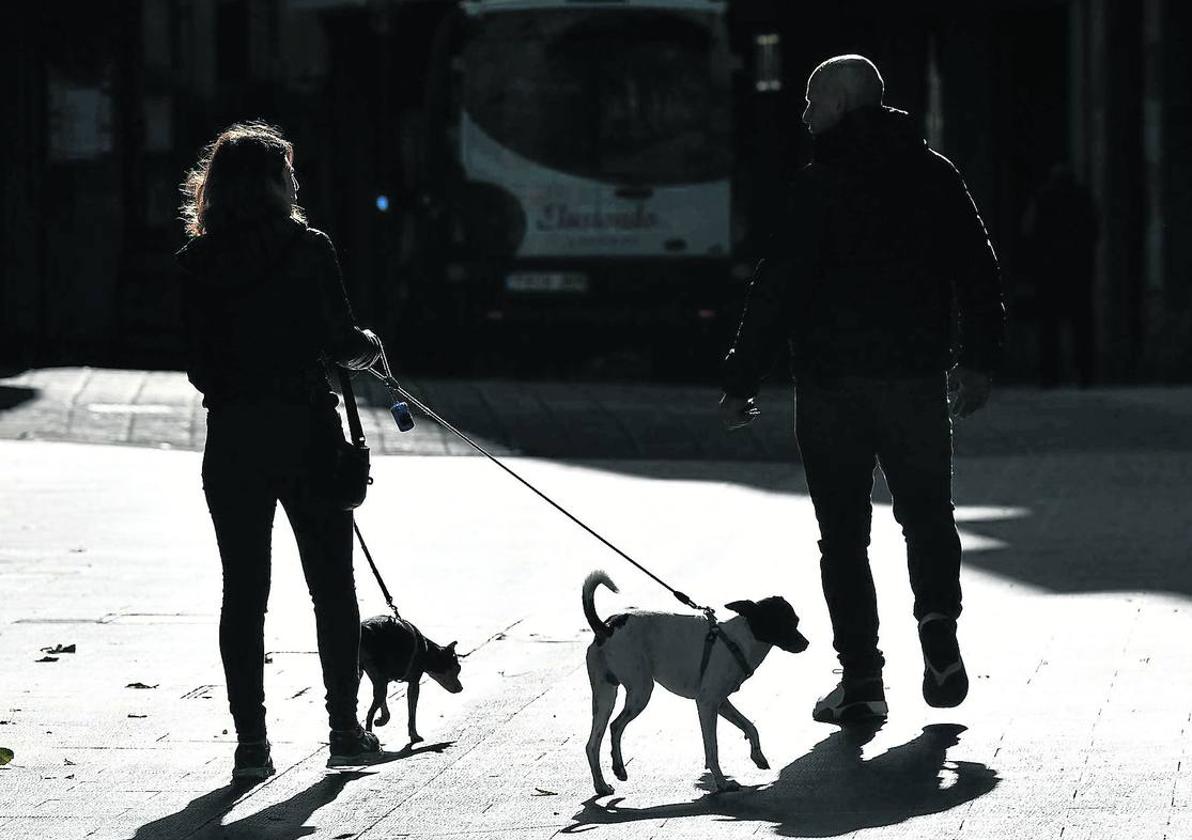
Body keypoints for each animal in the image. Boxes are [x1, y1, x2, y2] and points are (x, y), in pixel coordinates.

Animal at [355, 614, 462, 743]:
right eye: (458, 669)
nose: (461, 688)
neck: (427, 651)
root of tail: (364, 629)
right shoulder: (413, 684)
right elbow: (412, 713)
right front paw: (414, 735)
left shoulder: (379, 680)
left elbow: (385, 707)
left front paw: (382, 720)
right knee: (369, 714)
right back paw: (370, 734)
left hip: (360, 673)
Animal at [579, 569, 805, 791]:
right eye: (785, 623)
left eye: (796, 621)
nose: (806, 643)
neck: (740, 640)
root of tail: (607, 628)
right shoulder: (706, 703)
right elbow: (712, 749)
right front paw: (722, 782)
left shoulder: (721, 703)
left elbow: (750, 726)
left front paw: (758, 756)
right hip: (640, 692)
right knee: (615, 726)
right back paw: (617, 769)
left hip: (605, 697)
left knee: (593, 743)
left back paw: (602, 784)